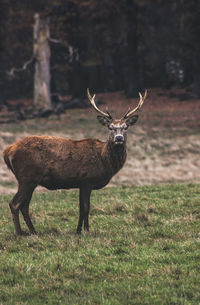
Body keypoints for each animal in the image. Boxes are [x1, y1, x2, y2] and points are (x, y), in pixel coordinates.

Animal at [3, 88, 147, 235]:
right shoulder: (87, 180)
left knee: (24, 205)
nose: (118, 138)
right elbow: (86, 207)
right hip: (27, 177)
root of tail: (8, 151)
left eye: (125, 127)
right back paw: (19, 233)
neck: (104, 160)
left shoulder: (80, 183)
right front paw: (87, 231)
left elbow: (80, 208)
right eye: (110, 127)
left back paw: (33, 231)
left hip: (29, 180)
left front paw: (78, 231)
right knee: (15, 203)